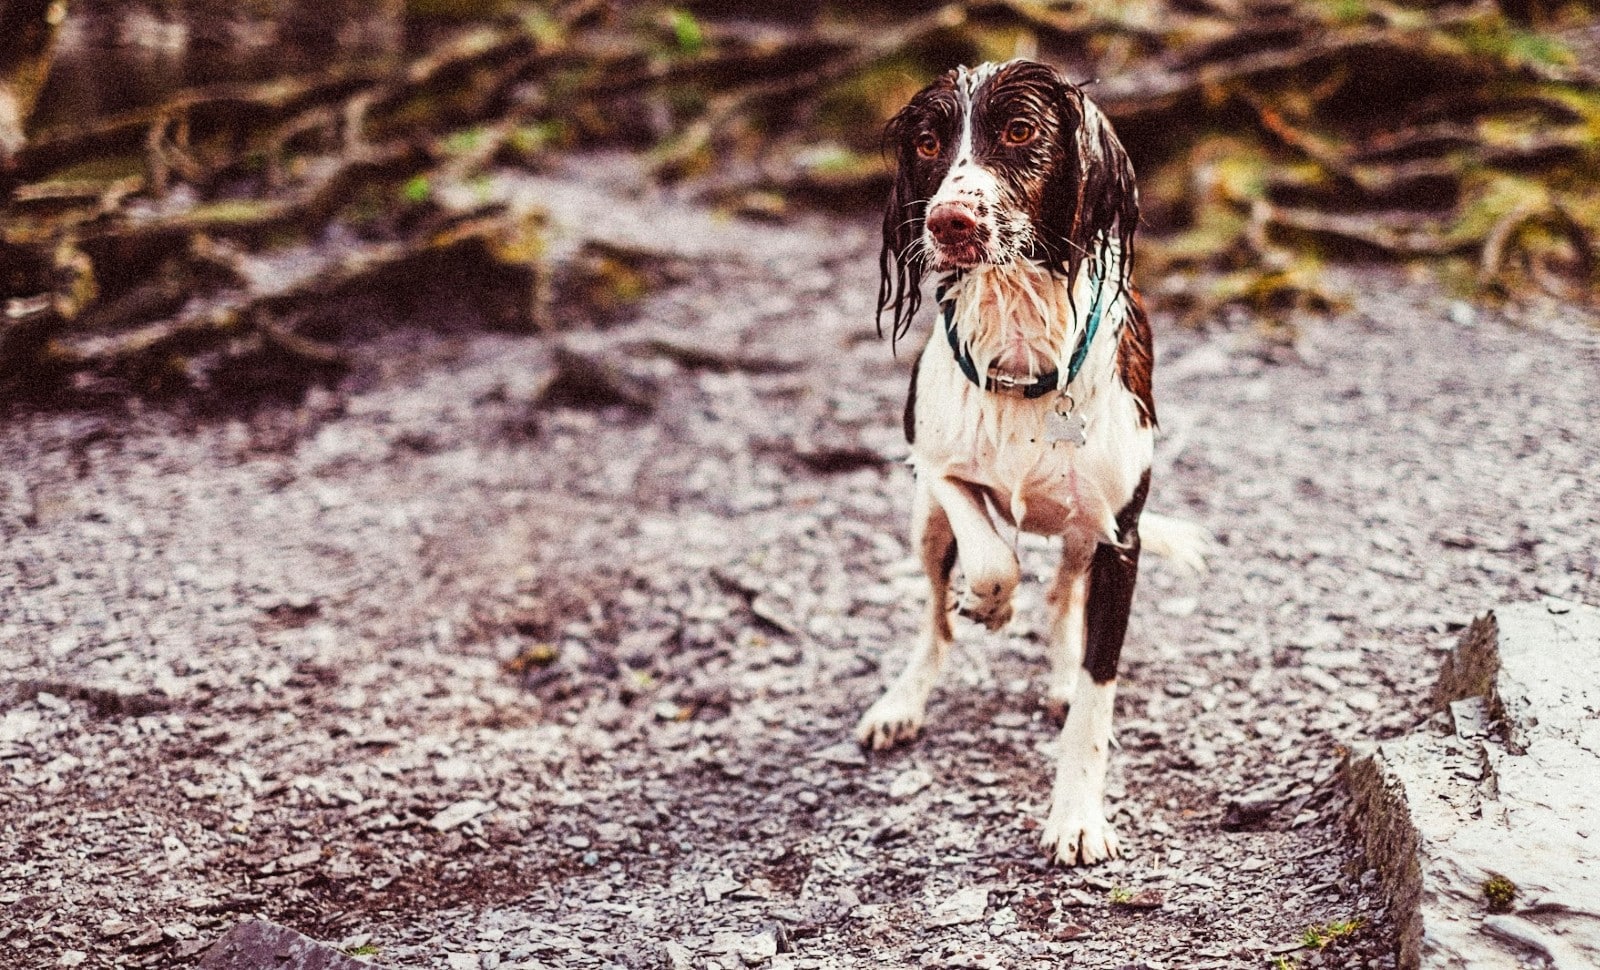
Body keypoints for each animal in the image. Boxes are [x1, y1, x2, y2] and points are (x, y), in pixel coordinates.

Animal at [857, 58, 1203, 864]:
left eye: (1019, 132)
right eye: (928, 143)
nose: (948, 222)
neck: (1020, 348)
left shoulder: (1119, 538)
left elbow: (1097, 697)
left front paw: (1076, 818)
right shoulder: (932, 464)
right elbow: (990, 553)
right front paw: (990, 601)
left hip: (1082, 536)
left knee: (1064, 599)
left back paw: (1059, 672)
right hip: (924, 528)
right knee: (934, 619)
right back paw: (905, 697)